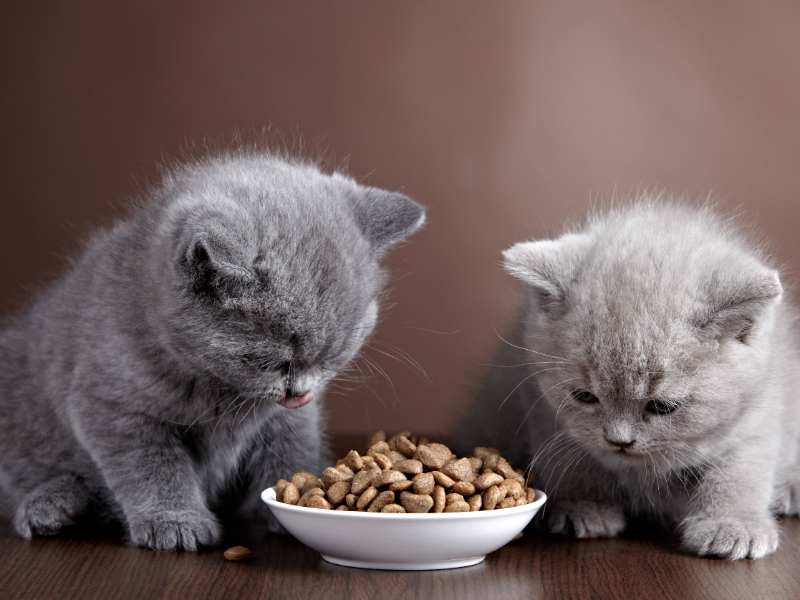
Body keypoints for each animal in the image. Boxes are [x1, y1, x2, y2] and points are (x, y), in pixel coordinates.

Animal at [0, 150, 425, 550]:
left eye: (334, 356)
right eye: (274, 362)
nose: (301, 392)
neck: (222, 391)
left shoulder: (288, 419)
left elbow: (292, 447)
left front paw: (290, 505)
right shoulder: (112, 407)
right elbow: (152, 465)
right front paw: (175, 522)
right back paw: (50, 506)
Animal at [461, 199, 800, 559]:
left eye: (663, 406)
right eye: (585, 396)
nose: (619, 440)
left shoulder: (760, 410)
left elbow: (741, 470)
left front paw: (733, 524)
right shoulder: (539, 400)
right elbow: (572, 456)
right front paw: (584, 506)